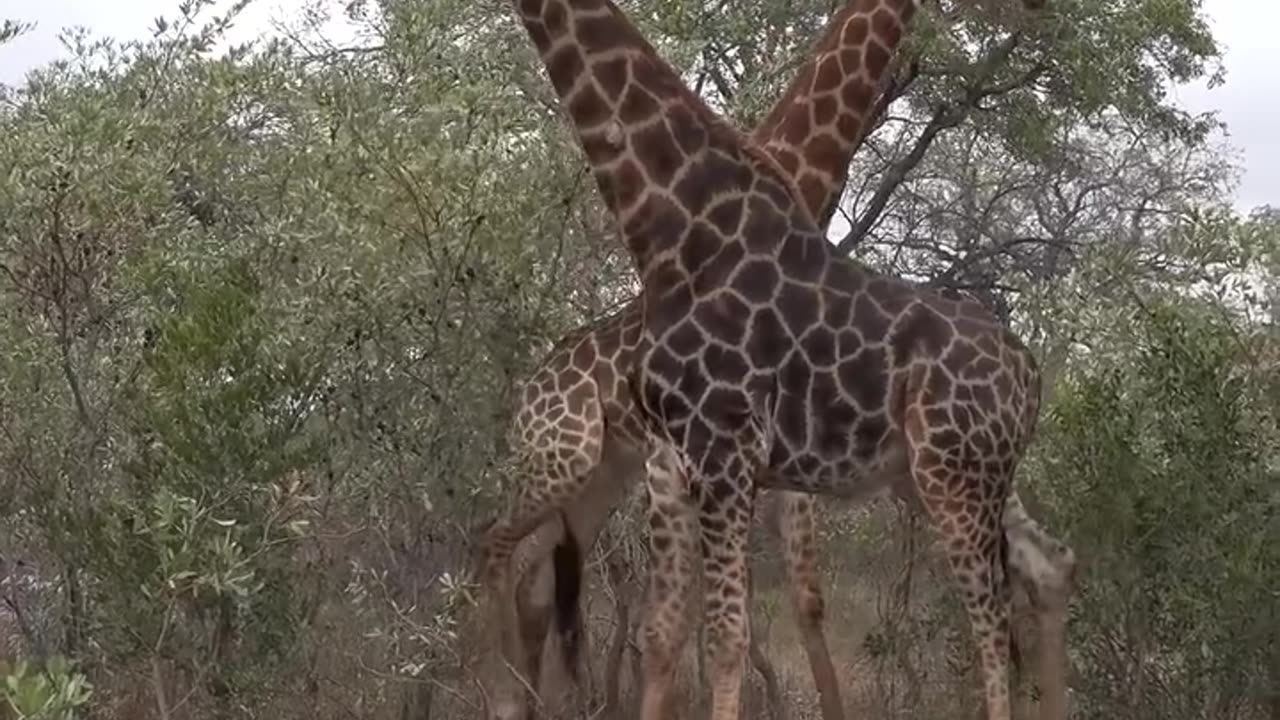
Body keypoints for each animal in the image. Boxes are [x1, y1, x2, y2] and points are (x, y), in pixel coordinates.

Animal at [490, 0, 1075, 719]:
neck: (681, 223)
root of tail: (1032, 374)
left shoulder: (729, 455)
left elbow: (735, 627)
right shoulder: (699, 463)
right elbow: (691, 626)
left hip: (950, 477)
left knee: (995, 617)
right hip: (579, 470)